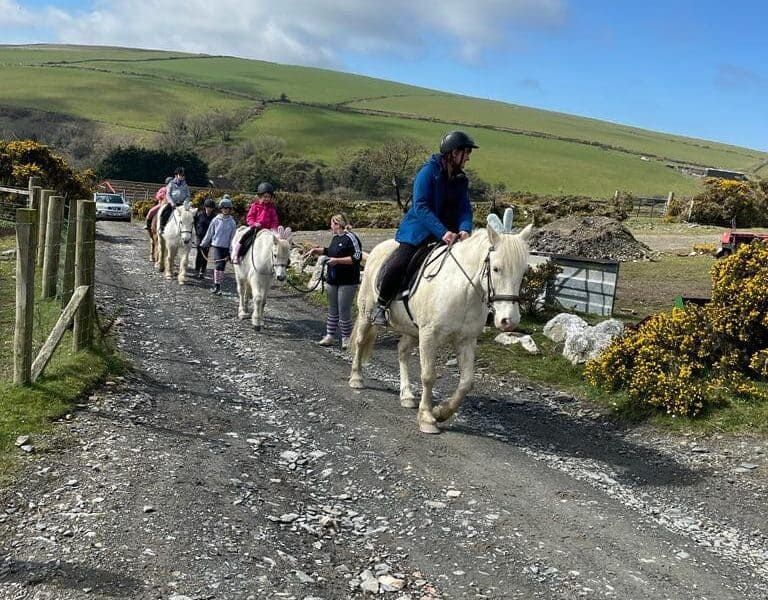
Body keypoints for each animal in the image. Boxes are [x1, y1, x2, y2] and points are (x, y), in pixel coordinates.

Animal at [352, 227, 532, 434]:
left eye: (522, 272)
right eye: (496, 269)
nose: (509, 321)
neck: (462, 291)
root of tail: (376, 250)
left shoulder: (466, 340)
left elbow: (466, 383)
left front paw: (441, 412)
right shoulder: (429, 336)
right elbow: (428, 376)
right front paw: (427, 418)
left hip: (411, 329)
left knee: (402, 351)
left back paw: (407, 395)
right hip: (366, 314)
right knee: (360, 342)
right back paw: (356, 379)